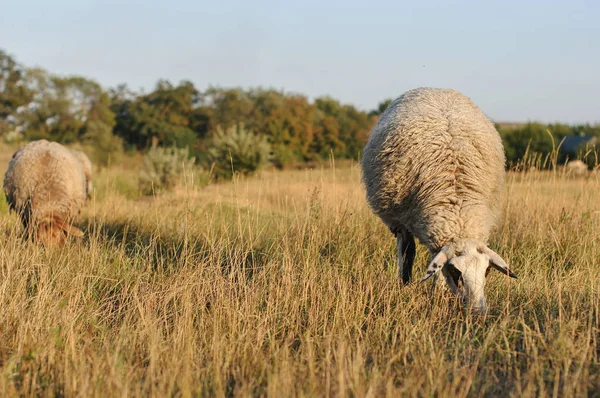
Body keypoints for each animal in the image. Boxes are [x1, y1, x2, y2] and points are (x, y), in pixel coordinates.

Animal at [358, 87, 516, 314]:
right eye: (456, 272)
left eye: (486, 271)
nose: (478, 311)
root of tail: (434, 89)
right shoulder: (402, 220)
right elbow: (410, 255)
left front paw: (438, 292)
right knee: (407, 250)